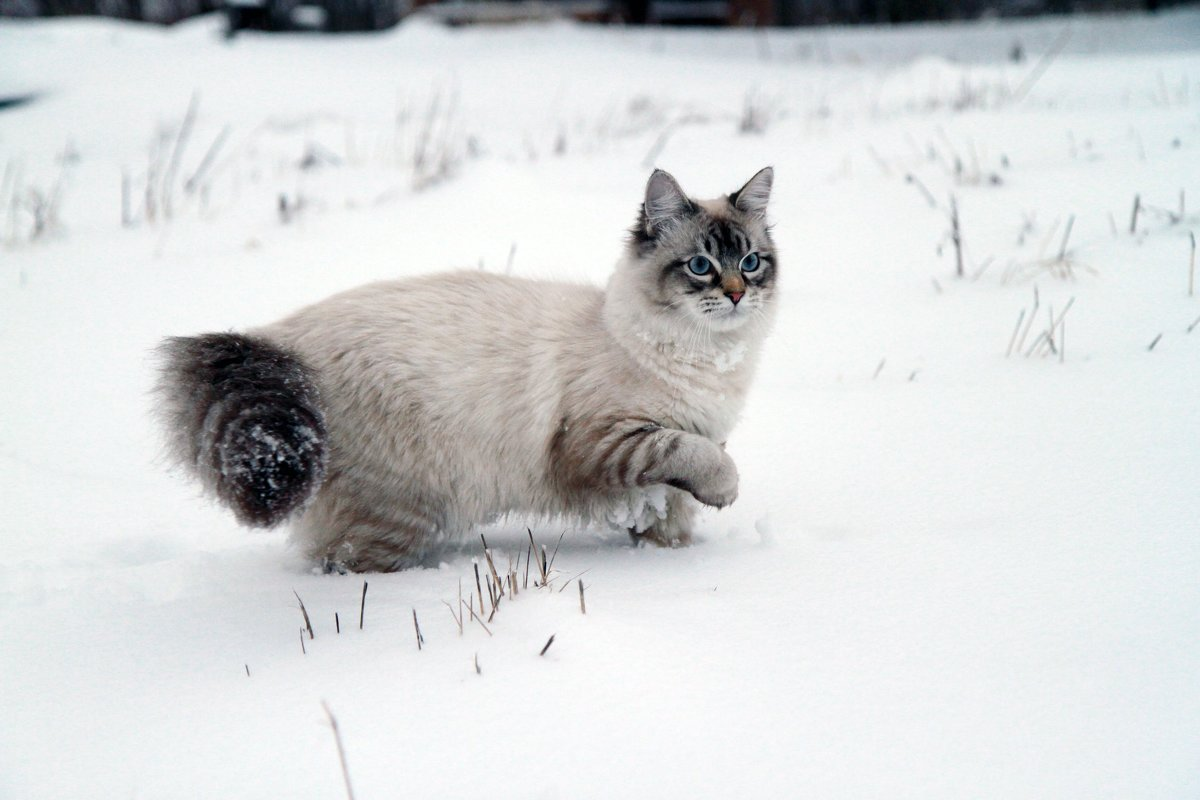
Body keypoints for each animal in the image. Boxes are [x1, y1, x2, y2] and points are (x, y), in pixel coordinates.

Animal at [157, 165, 777, 573]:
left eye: (751, 262)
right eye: (700, 266)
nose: (737, 293)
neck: (710, 360)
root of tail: (283, 338)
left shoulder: (677, 463)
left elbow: (673, 513)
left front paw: (673, 561)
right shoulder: (610, 441)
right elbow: (697, 458)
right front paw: (725, 492)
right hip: (399, 511)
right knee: (338, 567)